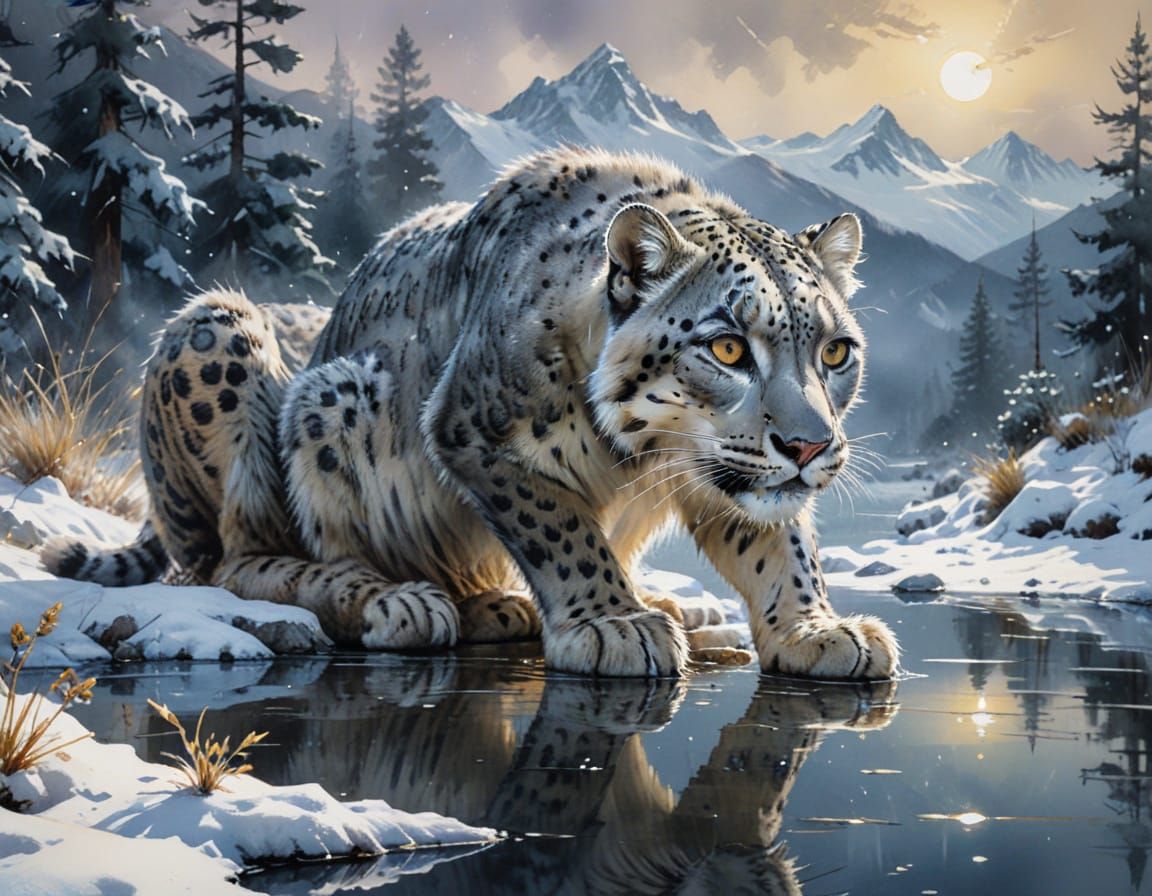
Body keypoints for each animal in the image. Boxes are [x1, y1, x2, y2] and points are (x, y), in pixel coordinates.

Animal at [43, 146, 898, 680]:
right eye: (727, 348)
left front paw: (817, 629)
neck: (646, 459)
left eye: (835, 352)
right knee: (231, 558)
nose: (808, 446)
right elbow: (559, 527)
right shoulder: (473, 433)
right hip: (237, 348)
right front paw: (611, 624)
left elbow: (780, 543)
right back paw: (403, 599)